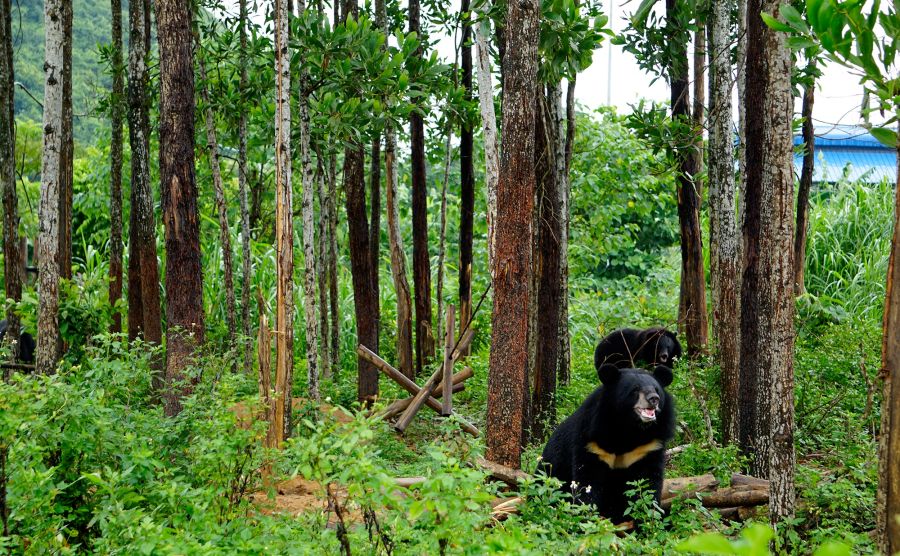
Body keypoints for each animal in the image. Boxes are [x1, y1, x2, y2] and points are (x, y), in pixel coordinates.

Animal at [539, 363, 675, 524]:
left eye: (656, 389)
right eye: (635, 390)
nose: (654, 399)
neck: (630, 428)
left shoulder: (648, 447)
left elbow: (648, 483)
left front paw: (647, 518)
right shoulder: (593, 442)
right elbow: (589, 481)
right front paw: (587, 517)